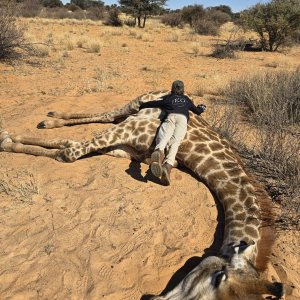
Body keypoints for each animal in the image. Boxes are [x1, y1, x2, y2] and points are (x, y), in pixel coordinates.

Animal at [0, 92, 284, 300]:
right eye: (218, 278)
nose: (160, 299)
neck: (188, 149)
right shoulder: (129, 130)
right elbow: (69, 152)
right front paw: (7, 138)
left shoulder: (128, 149)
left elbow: (66, 147)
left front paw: (11, 139)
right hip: (135, 105)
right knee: (108, 114)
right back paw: (49, 118)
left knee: (104, 118)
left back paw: (52, 118)